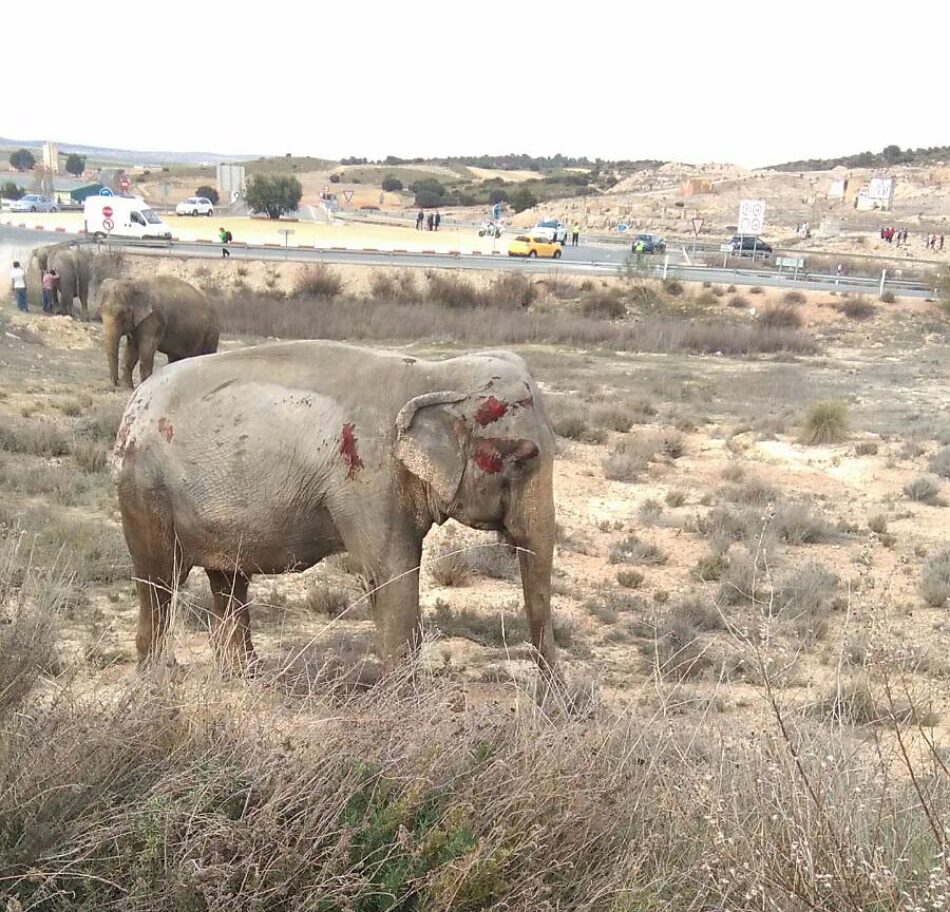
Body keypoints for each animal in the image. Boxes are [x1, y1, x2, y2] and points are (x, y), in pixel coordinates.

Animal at [110, 342, 556, 676]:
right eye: (522, 459)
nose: (554, 703)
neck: (434, 377)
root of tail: (133, 404)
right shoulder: (368, 479)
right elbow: (391, 574)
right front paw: (407, 704)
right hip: (144, 490)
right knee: (158, 580)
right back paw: (157, 678)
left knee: (228, 579)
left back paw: (243, 676)